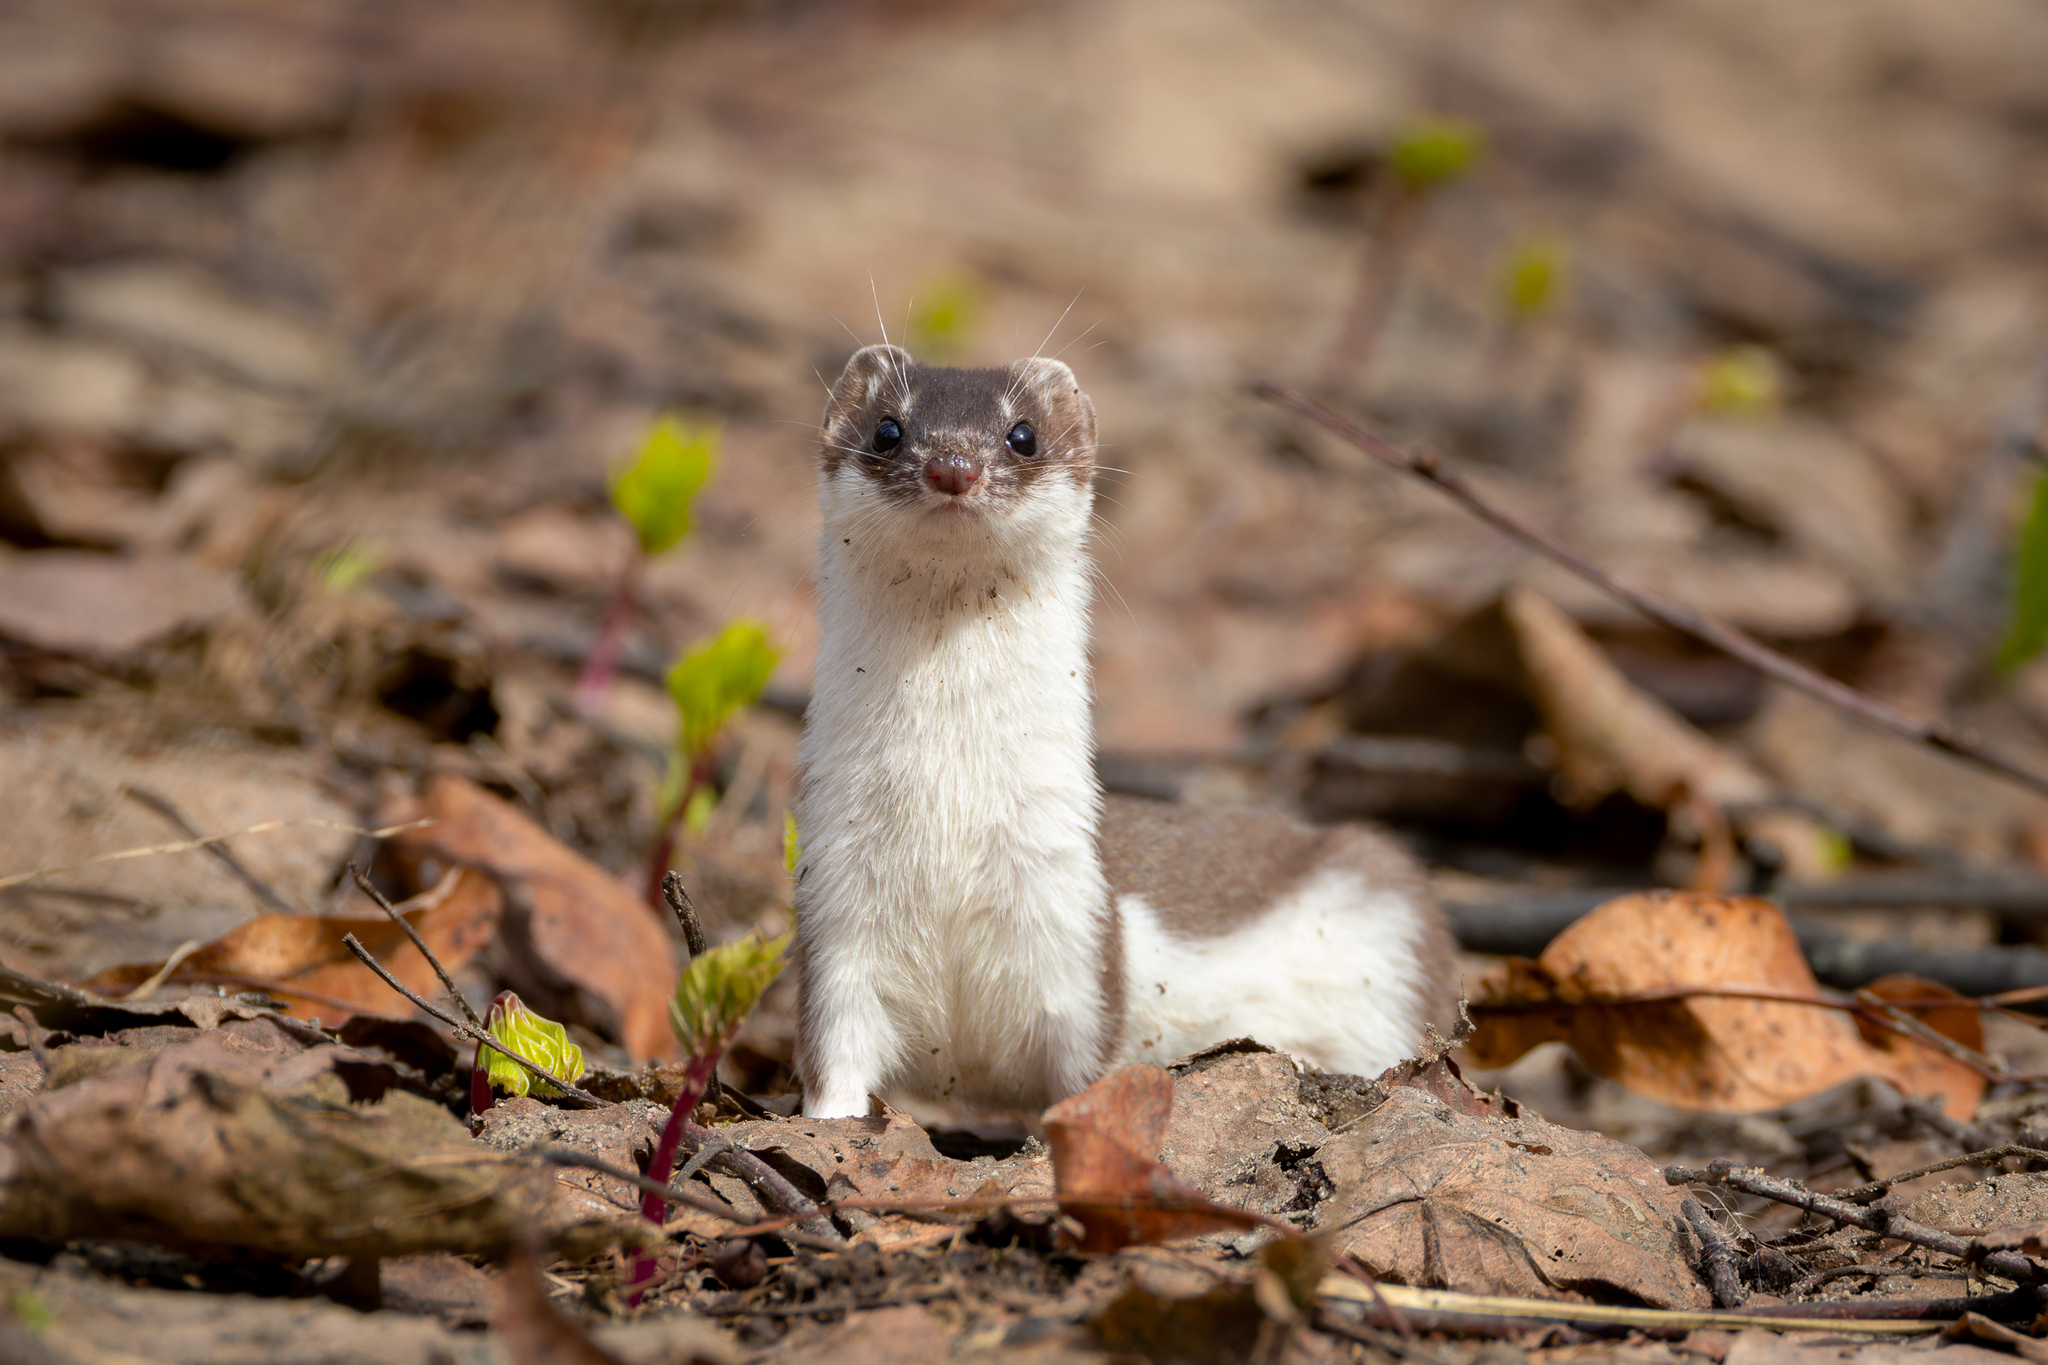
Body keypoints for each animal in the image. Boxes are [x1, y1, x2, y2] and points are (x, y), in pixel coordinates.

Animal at [786, 343, 1458, 1121]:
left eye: (1022, 434)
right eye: (887, 430)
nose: (953, 466)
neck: (948, 834)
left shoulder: (1075, 922)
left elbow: (1087, 1066)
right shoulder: (835, 915)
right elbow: (835, 1058)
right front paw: (833, 1121)